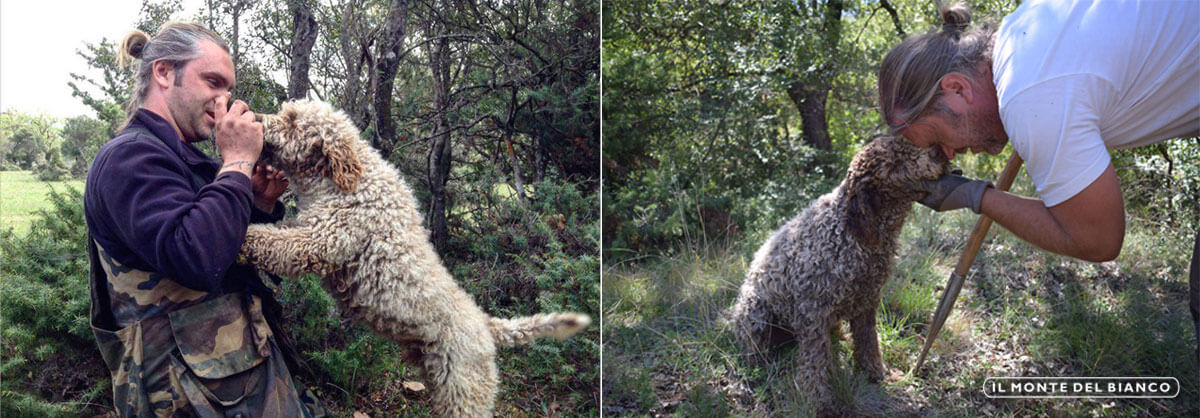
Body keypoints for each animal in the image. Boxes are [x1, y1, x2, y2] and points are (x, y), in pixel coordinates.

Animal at [724, 136, 950, 410]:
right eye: (895, 162)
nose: (940, 152)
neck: (849, 232)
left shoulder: (867, 301)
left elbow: (868, 342)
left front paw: (874, 373)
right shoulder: (813, 311)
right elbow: (816, 360)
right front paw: (818, 400)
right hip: (756, 313)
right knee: (754, 350)